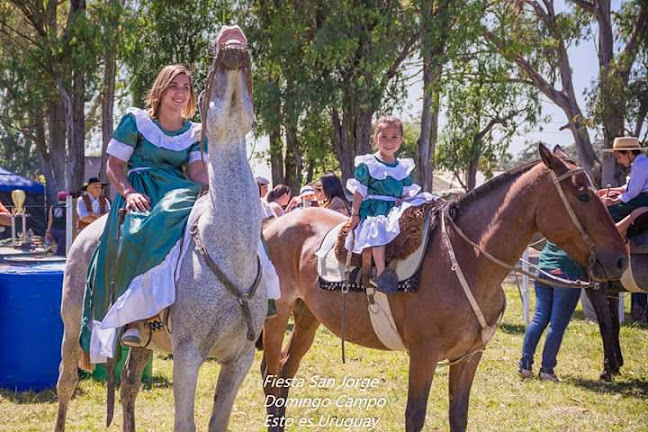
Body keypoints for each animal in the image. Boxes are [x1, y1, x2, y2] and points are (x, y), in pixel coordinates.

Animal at [258, 143, 628, 430]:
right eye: (583, 195)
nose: (619, 260)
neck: (467, 259)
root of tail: (273, 225)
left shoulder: (469, 356)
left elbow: (458, 415)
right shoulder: (423, 355)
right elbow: (415, 416)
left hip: (308, 318)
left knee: (285, 373)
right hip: (277, 318)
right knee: (270, 374)